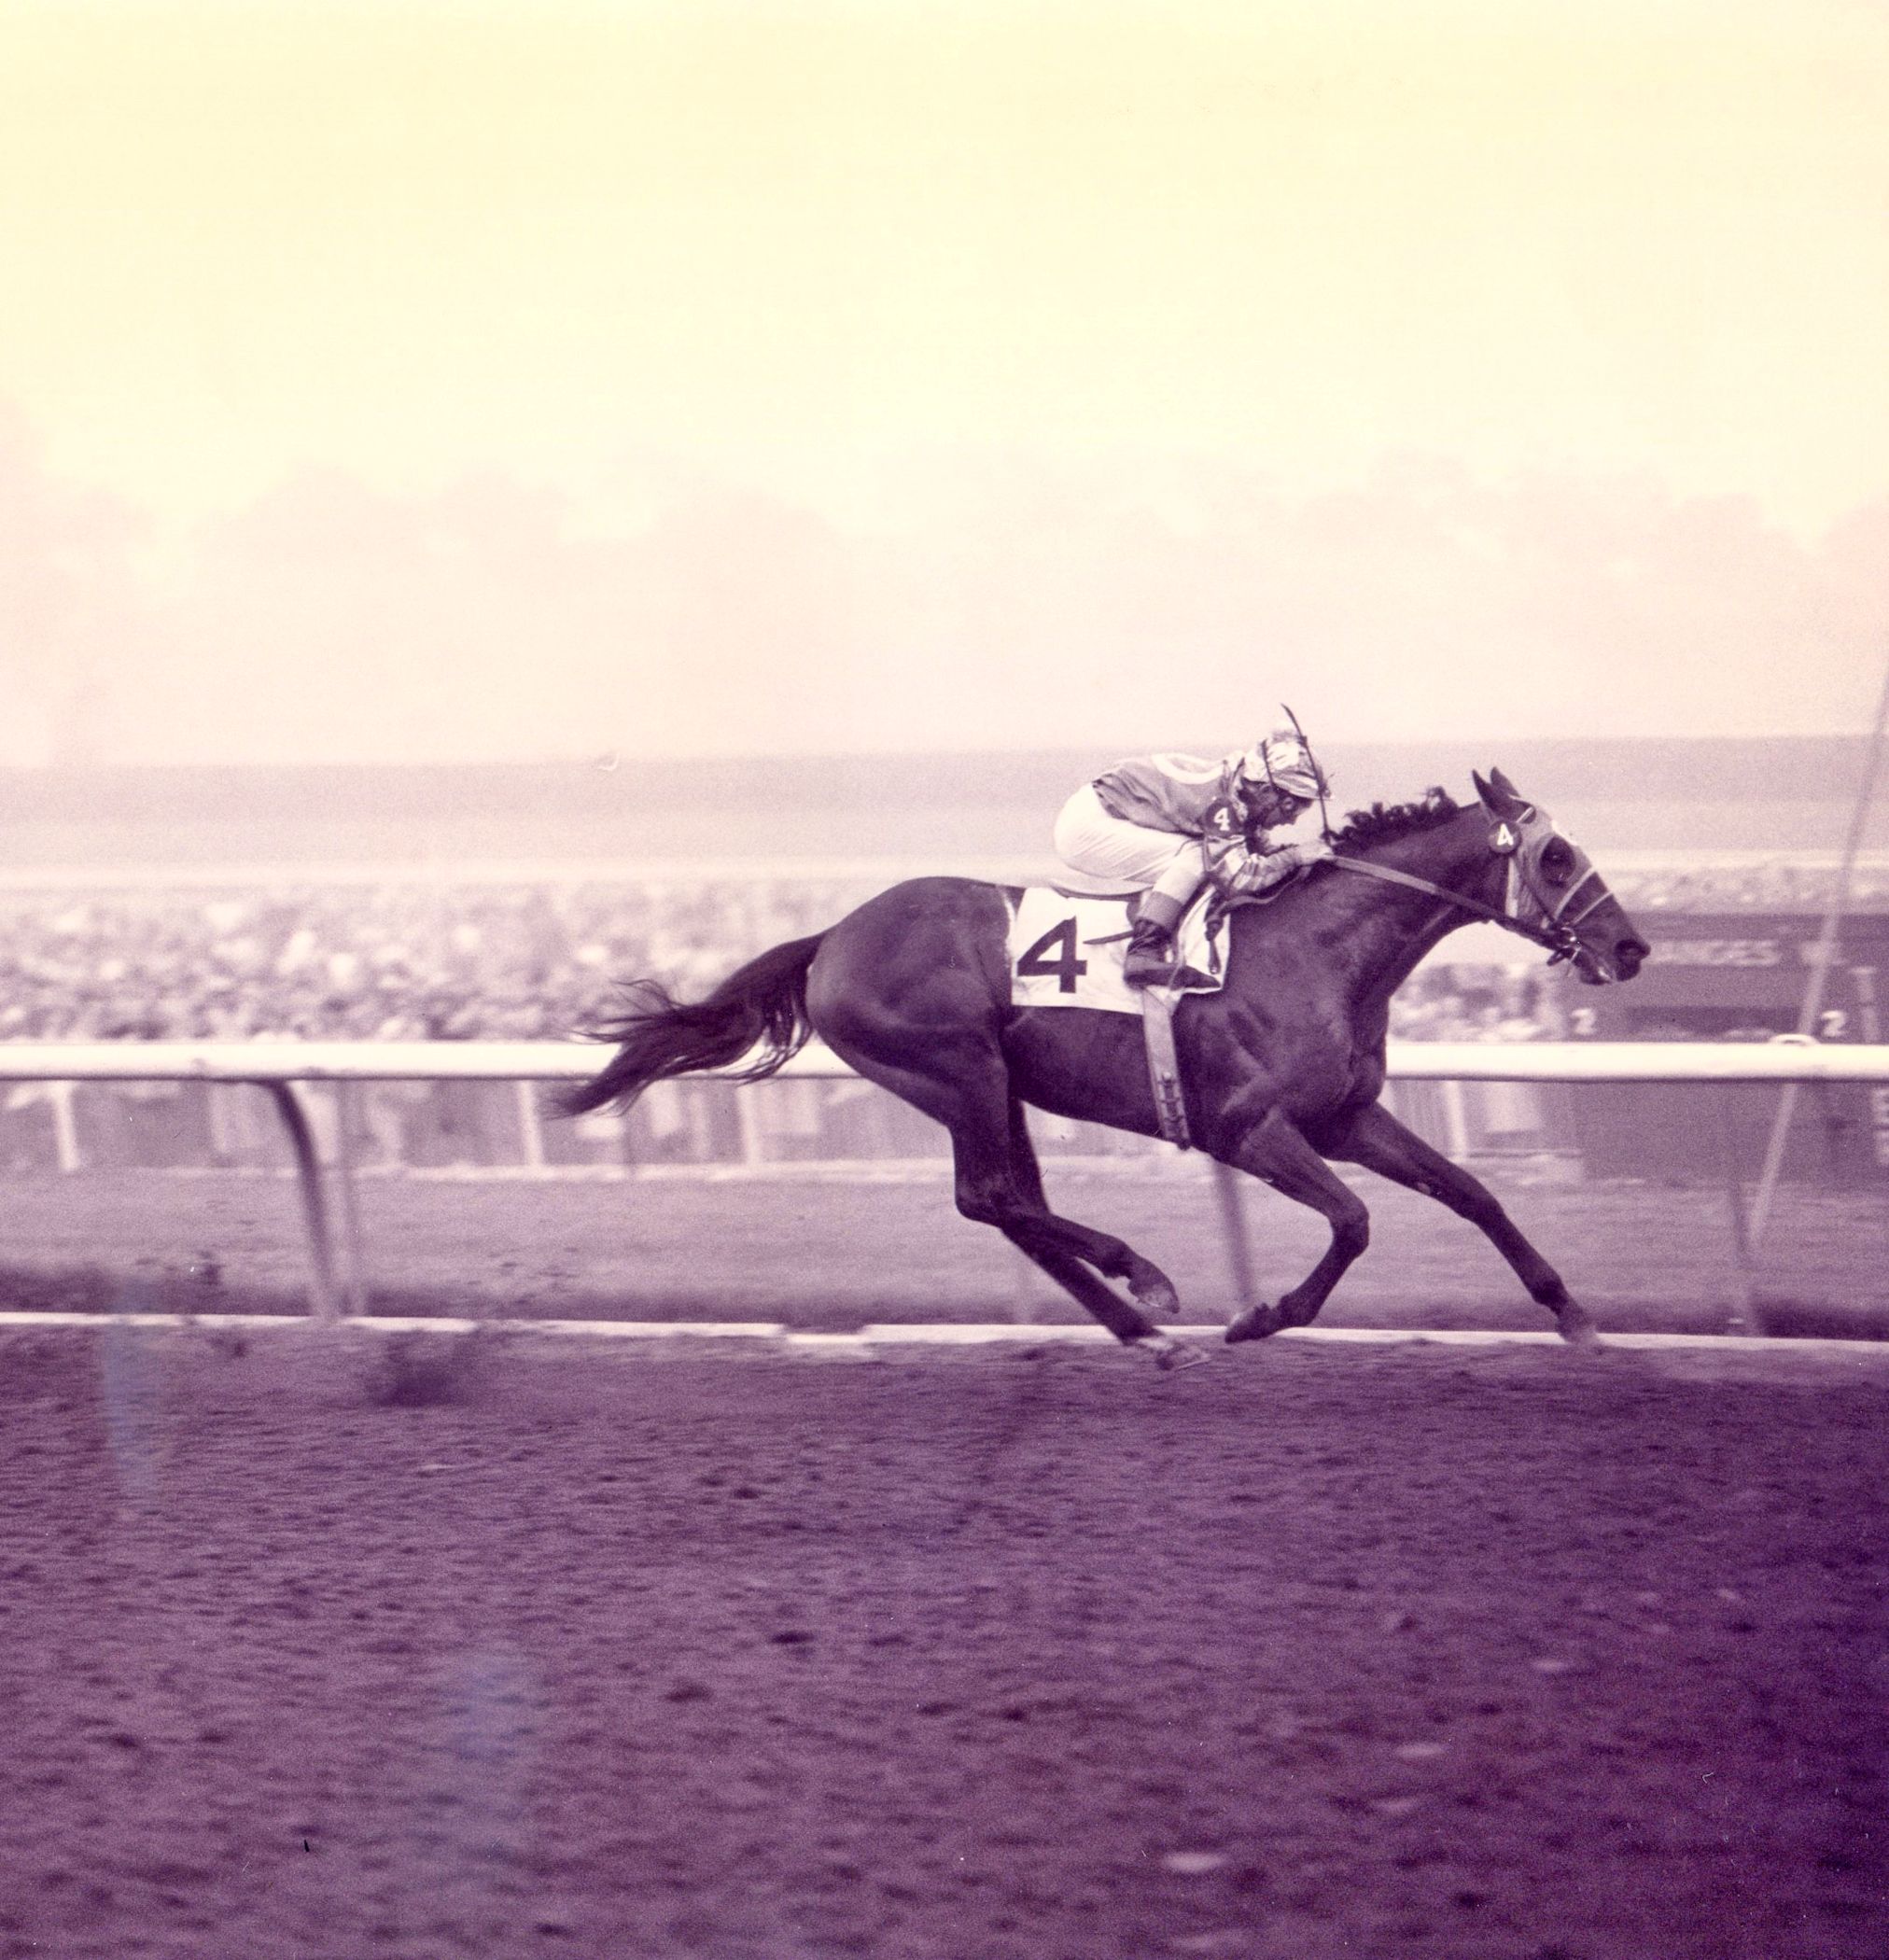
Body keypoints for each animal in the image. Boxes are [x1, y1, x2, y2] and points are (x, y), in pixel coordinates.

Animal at [553, 772, 1645, 1371]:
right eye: (1556, 859)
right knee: (991, 1196)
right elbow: (1353, 1221)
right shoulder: (1249, 1129)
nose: (1630, 948)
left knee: (1009, 1205)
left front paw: (1573, 1316)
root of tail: (830, 941)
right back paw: (1144, 1281)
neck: (1319, 952)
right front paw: (1262, 1317)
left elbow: (1472, 1193)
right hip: (955, 1068)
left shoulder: (1344, 1119)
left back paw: (1138, 1326)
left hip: (993, 1085)